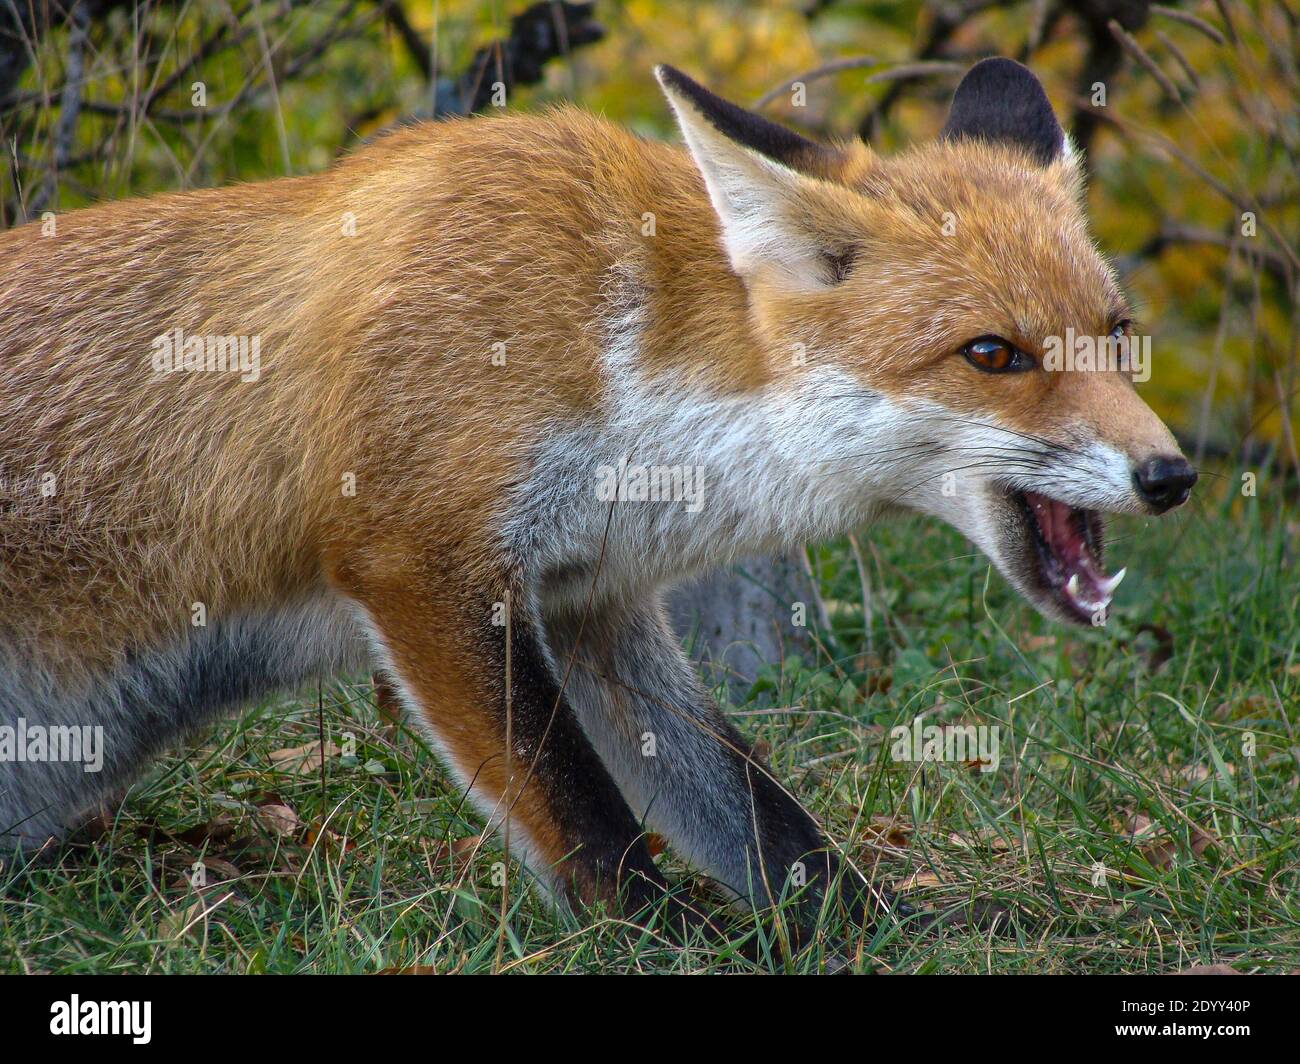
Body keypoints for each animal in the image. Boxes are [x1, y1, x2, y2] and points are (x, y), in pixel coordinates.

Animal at [2, 60, 1196, 926]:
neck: (620, 355)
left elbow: (761, 820)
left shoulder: (593, 601)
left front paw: (876, 937)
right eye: (992, 354)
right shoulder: (415, 556)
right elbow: (585, 821)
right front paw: (664, 943)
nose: (1173, 474)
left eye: (1116, 330)